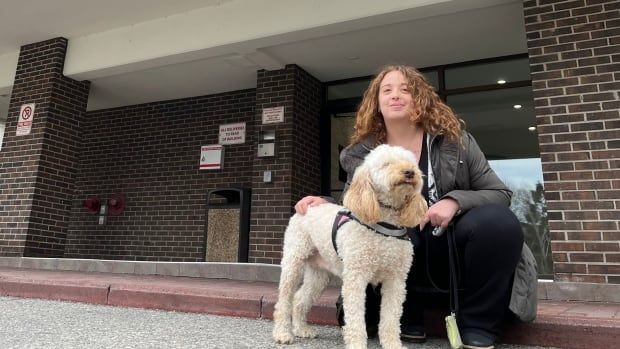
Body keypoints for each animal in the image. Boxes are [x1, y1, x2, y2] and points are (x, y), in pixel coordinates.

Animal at [274, 144, 428, 348]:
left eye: (410, 163)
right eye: (386, 164)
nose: (409, 172)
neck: (385, 224)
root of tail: (306, 207)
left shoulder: (395, 280)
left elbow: (391, 318)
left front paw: (392, 344)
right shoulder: (356, 277)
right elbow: (355, 318)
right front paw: (357, 343)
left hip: (319, 274)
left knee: (300, 298)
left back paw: (302, 329)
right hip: (294, 260)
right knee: (284, 299)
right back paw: (283, 333)